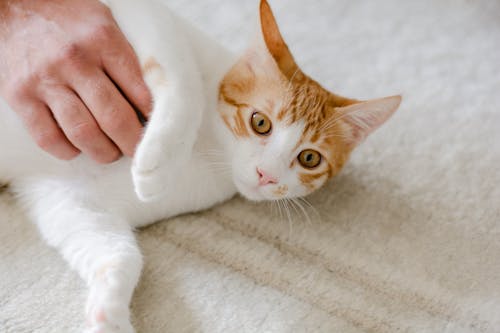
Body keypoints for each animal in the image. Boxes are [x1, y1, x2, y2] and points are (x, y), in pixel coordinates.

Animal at [0, 0, 398, 332]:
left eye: (309, 158)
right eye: (260, 123)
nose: (266, 175)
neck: (210, 146)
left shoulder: (69, 196)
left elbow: (118, 253)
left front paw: (109, 313)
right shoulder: (138, 14)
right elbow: (184, 85)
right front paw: (157, 160)